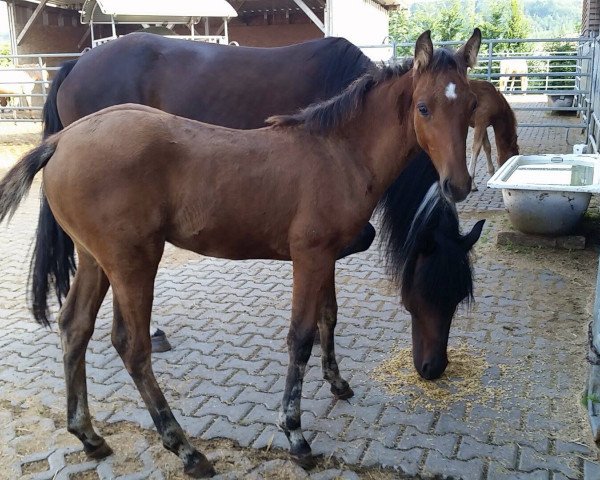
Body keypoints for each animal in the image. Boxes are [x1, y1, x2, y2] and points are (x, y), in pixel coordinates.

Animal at [0, 31, 478, 478]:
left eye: (471, 107)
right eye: (423, 107)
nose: (457, 185)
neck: (336, 151)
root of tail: (61, 142)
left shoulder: (327, 254)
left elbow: (328, 315)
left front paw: (338, 383)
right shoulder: (310, 256)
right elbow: (300, 338)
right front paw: (296, 435)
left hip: (96, 258)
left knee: (74, 326)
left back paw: (89, 435)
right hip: (133, 261)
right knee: (131, 346)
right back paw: (186, 450)